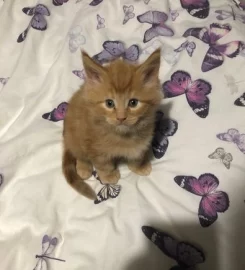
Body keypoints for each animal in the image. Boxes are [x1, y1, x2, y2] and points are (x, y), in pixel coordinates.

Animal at [62, 49, 163, 199]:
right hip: (74, 134)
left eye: (133, 102)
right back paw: (83, 168)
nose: (121, 117)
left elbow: (137, 154)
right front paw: (109, 176)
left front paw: (139, 166)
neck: (122, 135)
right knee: (79, 153)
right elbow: (103, 164)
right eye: (109, 103)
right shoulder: (95, 147)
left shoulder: (142, 140)